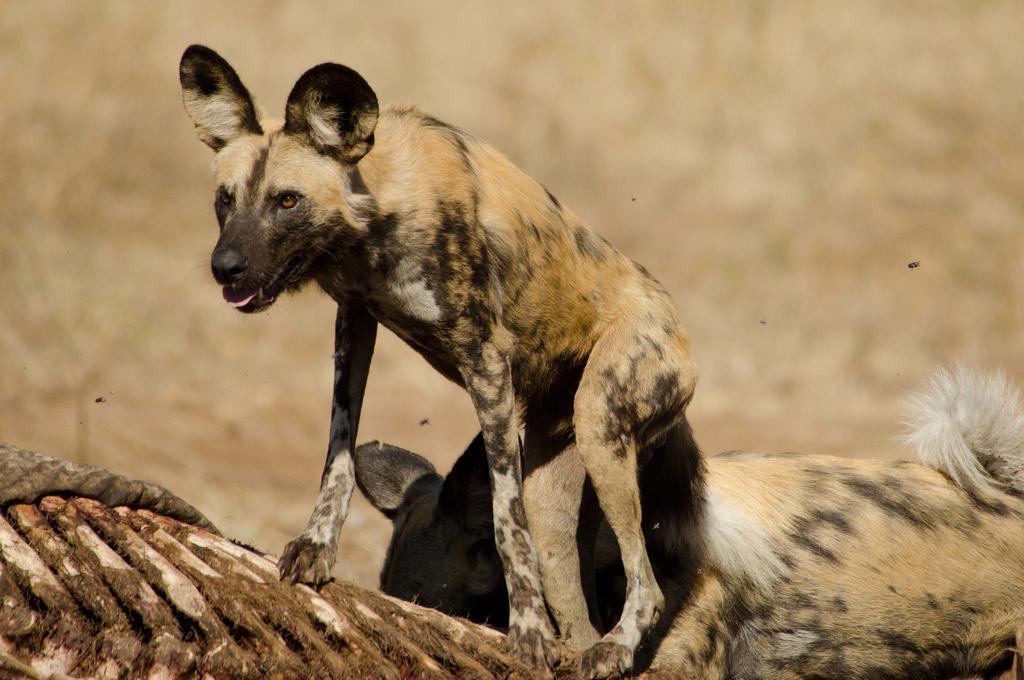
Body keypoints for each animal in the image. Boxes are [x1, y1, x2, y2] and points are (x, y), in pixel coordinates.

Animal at [180, 46, 700, 675]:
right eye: (225, 200)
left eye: (287, 200)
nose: (225, 267)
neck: (381, 208)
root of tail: (676, 325)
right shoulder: (354, 325)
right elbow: (339, 457)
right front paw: (317, 548)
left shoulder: (487, 364)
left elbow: (504, 522)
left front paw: (527, 630)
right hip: (563, 487)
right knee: (574, 594)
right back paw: (587, 650)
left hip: (601, 427)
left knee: (646, 585)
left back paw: (614, 645)